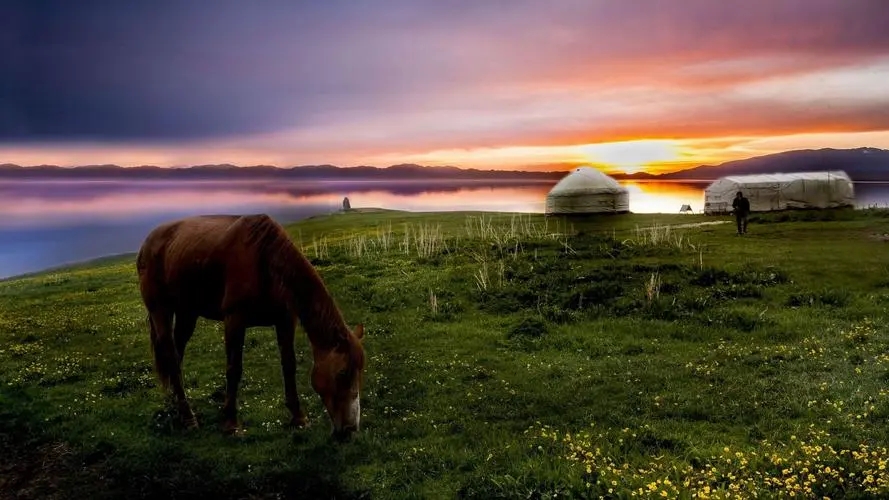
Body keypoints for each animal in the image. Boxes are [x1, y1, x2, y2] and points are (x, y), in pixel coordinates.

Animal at [136, 213, 364, 440]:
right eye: (342, 373)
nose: (351, 429)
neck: (265, 261)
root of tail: (147, 244)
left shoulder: (285, 320)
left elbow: (289, 365)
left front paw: (298, 417)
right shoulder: (234, 319)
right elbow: (233, 369)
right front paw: (230, 423)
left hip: (187, 312)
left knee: (176, 353)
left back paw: (173, 404)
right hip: (160, 310)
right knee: (171, 357)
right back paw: (188, 417)